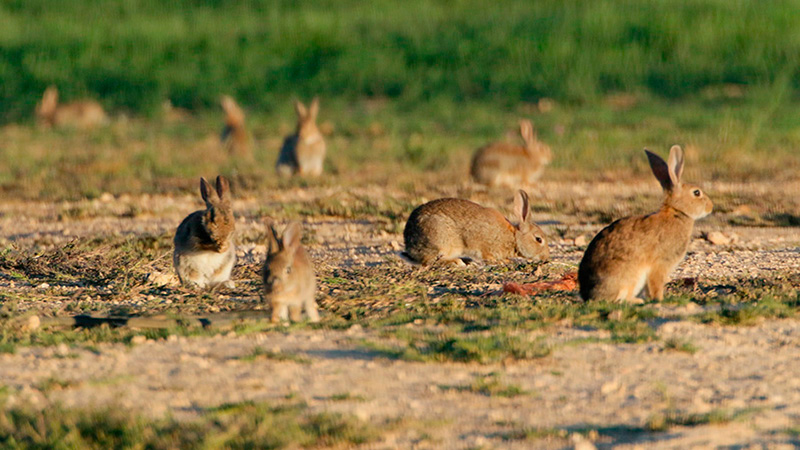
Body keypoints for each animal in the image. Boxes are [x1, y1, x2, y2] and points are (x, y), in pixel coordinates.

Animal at [400, 189, 552, 266]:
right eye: (538, 239)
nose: (546, 258)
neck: (514, 237)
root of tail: (410, 245)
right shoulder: (486, 245)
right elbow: (487, 255)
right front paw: (501, 260)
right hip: (443, 242)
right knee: (429, 261)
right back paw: (457, 261)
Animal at [580, 146, 716, 302]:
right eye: (697, 193)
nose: (711, 207)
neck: (677, 212)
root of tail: (589, 295)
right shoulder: (659, 264)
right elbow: (655, 284)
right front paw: (659, 300)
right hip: (631, 276)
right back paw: (637, 300)